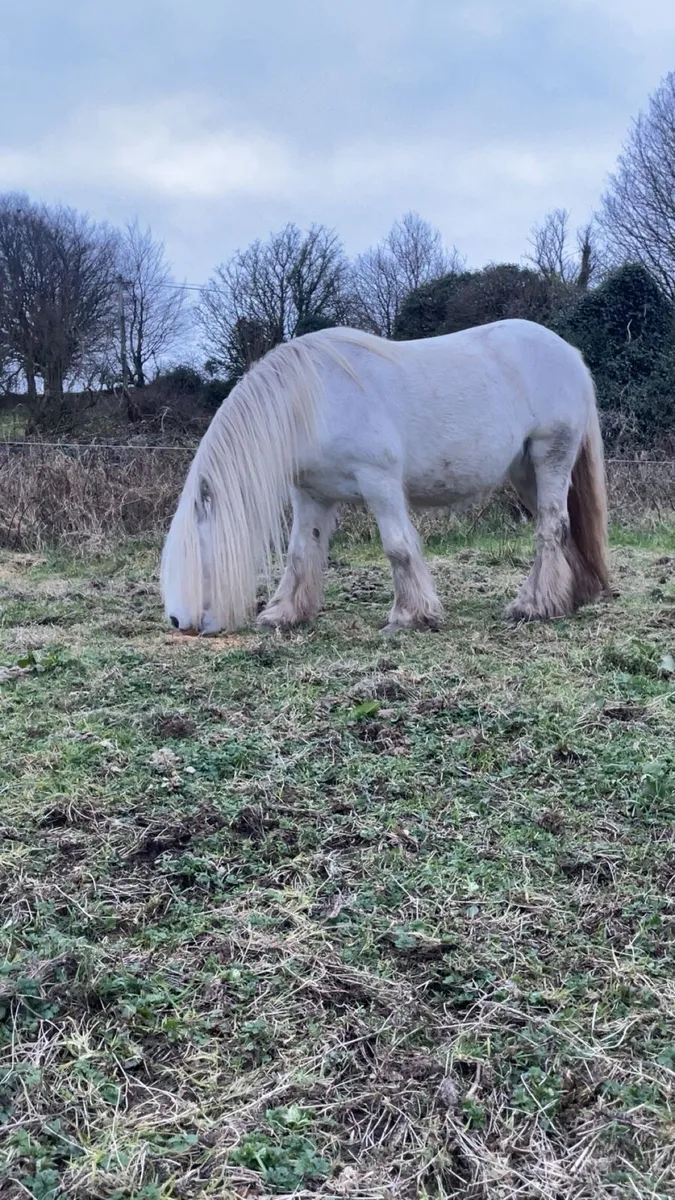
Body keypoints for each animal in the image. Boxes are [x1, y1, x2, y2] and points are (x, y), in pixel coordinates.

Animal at [161, 319, 609, 635]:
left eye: (197, 555)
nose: (179, 623)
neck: (313, 402)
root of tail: (569, 354)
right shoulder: (312, 495)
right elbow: (301, 552)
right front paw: (284, 614)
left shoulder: (379, 482)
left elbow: (397, 547)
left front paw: (410, 616)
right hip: (525, 471)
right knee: (561, 526)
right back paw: (571, 596)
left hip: (550, 456)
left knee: (550, 527)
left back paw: (533, 606)